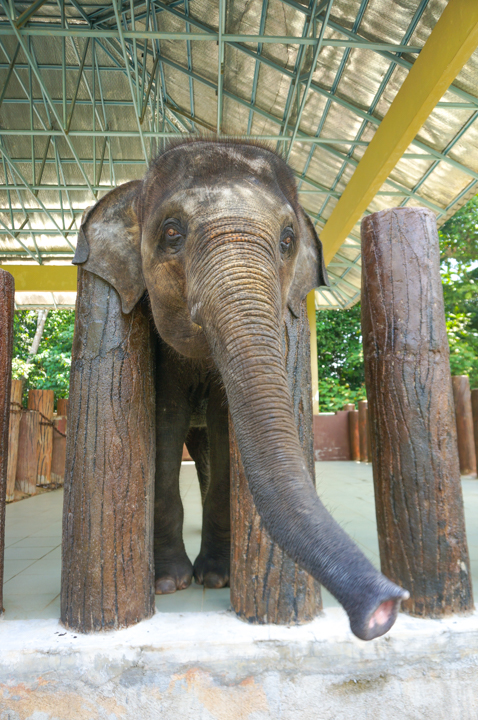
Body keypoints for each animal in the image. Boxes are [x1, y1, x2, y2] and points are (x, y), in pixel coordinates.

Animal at [73, 138, 408, 641]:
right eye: (171, 233)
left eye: (287, 240)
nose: (384, 610)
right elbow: (166, 422)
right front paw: (169, 582)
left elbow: (222, 422)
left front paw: (216, 577)